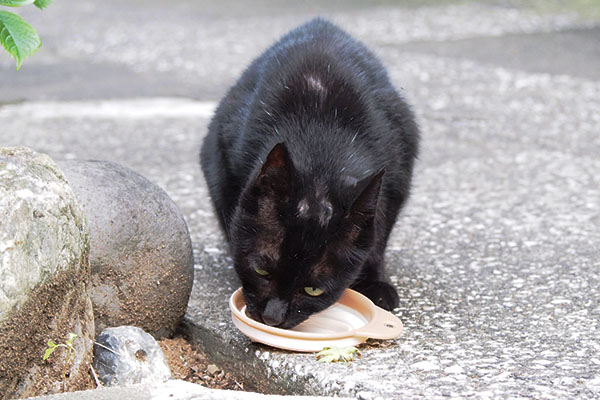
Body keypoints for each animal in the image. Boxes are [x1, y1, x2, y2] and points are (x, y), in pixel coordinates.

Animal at [200, 18, 418, 328]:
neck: (321, 146)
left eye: (313, 290)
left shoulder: (398, 174)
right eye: (261, 270)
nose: (273, 317)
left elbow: (378, 233)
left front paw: (377, 285)